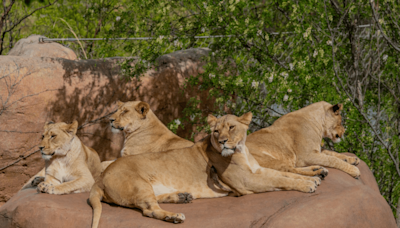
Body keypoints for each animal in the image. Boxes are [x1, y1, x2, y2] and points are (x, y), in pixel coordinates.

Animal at [89, 112, 320, 226]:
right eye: (216, 131)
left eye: (231, 127)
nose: (224, 141)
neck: (242, 149)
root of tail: (100, 178)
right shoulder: (246, 182)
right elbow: (280, 180)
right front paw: (309, 184)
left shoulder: (257, 171)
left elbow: (284, 174)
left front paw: (314, 176)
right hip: (139, 183)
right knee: (149, 210)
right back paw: (175, 216)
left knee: (153, 201)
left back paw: (182, 197)